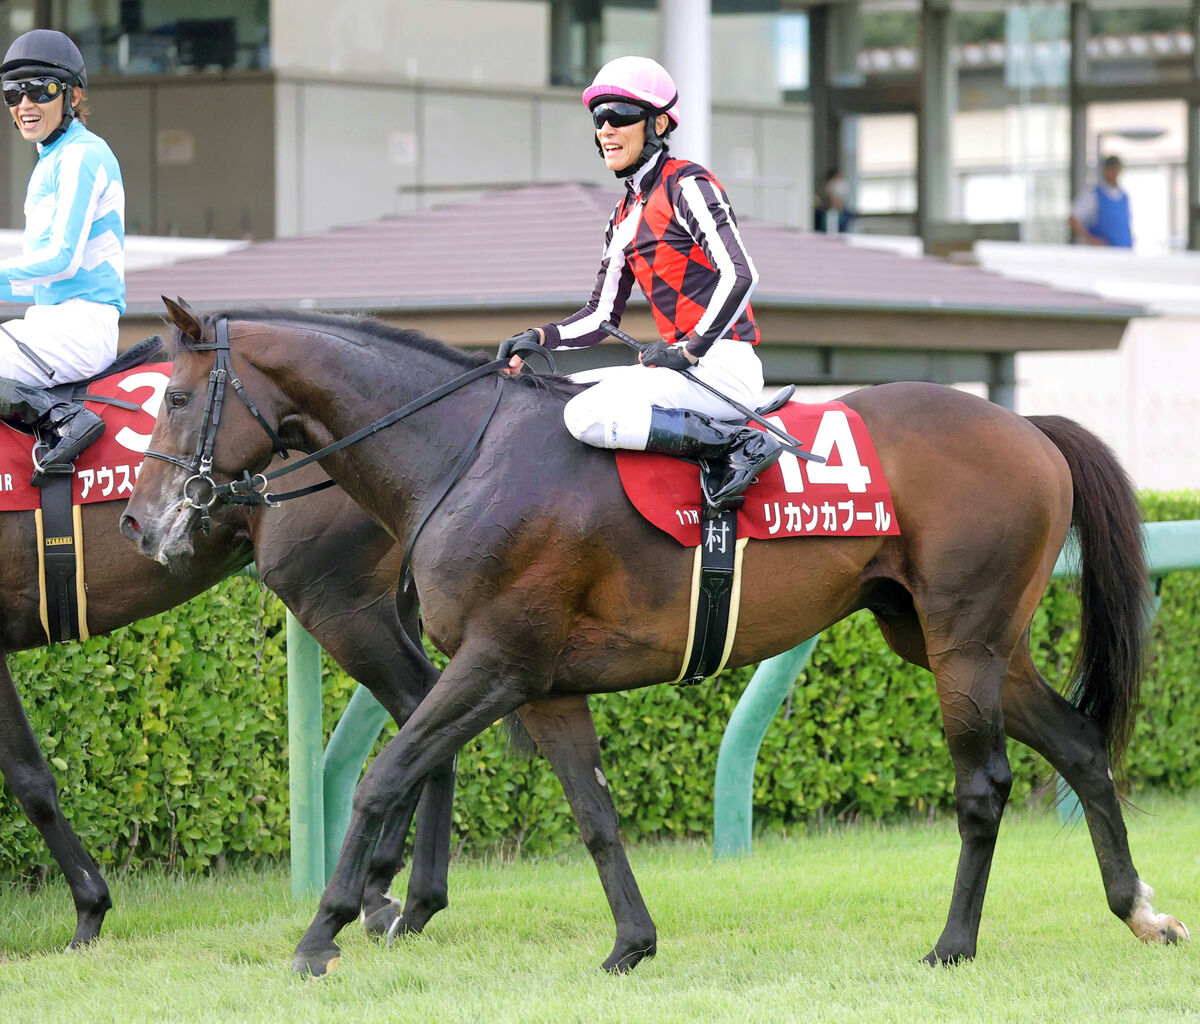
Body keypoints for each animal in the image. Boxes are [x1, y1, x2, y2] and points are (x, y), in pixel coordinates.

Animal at [121, 303, 1190, 974]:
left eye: (171, 399)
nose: (139, 522)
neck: (466, 453)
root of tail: (1030, 428)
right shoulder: (544, 684)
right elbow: (595, 814)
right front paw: (631, 943)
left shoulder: (493, 663)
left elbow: (385, 776)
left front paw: (328, 929)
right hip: (948, 639)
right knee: (1081, 744)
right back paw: (1139, 909)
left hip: (962, 643)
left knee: (985, 785)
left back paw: (953, 944)